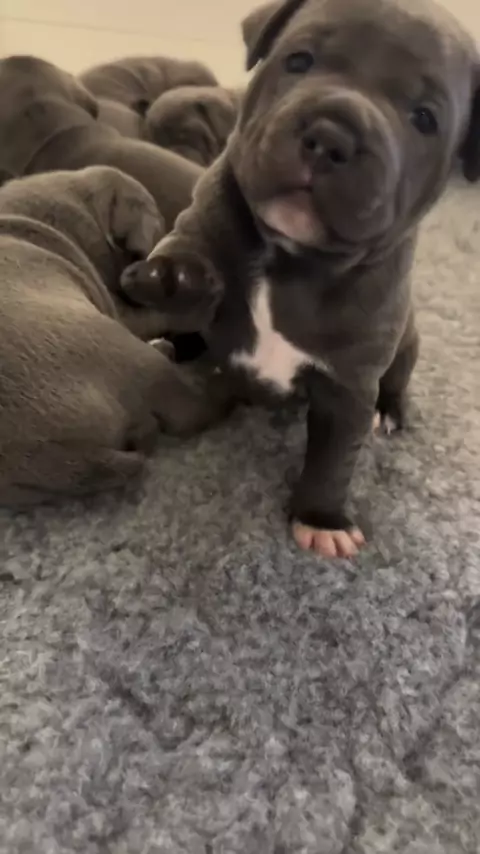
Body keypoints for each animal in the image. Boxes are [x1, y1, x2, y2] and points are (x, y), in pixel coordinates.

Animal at [119, 0, 480, 559]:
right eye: (298, 60)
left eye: (424, 118)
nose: (332, 135)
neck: (291, 258)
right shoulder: (206, 215)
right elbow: (188, 244)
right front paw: (173, 275)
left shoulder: (348, 386)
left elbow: (333, 460)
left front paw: (321, 518)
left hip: (408, 343)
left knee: (398, 379)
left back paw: (392, 411)